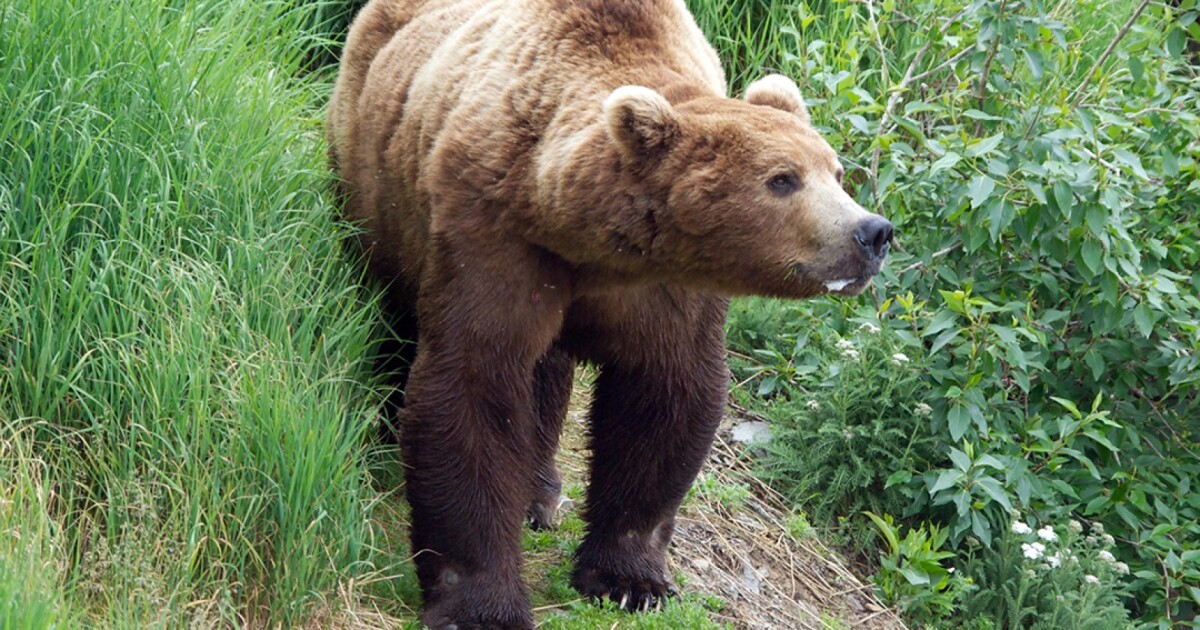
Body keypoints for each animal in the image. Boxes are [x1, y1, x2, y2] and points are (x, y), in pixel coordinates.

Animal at [327, 0, 894, 628]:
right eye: (782, 179)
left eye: (835, 172)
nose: (872, 232)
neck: (586, 238)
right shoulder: (492, 233)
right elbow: (474, 382)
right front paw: (481, 605)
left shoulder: (666, 290)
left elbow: (664, 397)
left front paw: (630, 579)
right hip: (376, 183)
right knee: (392, 308)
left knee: (546, 370)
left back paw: (540, 492)